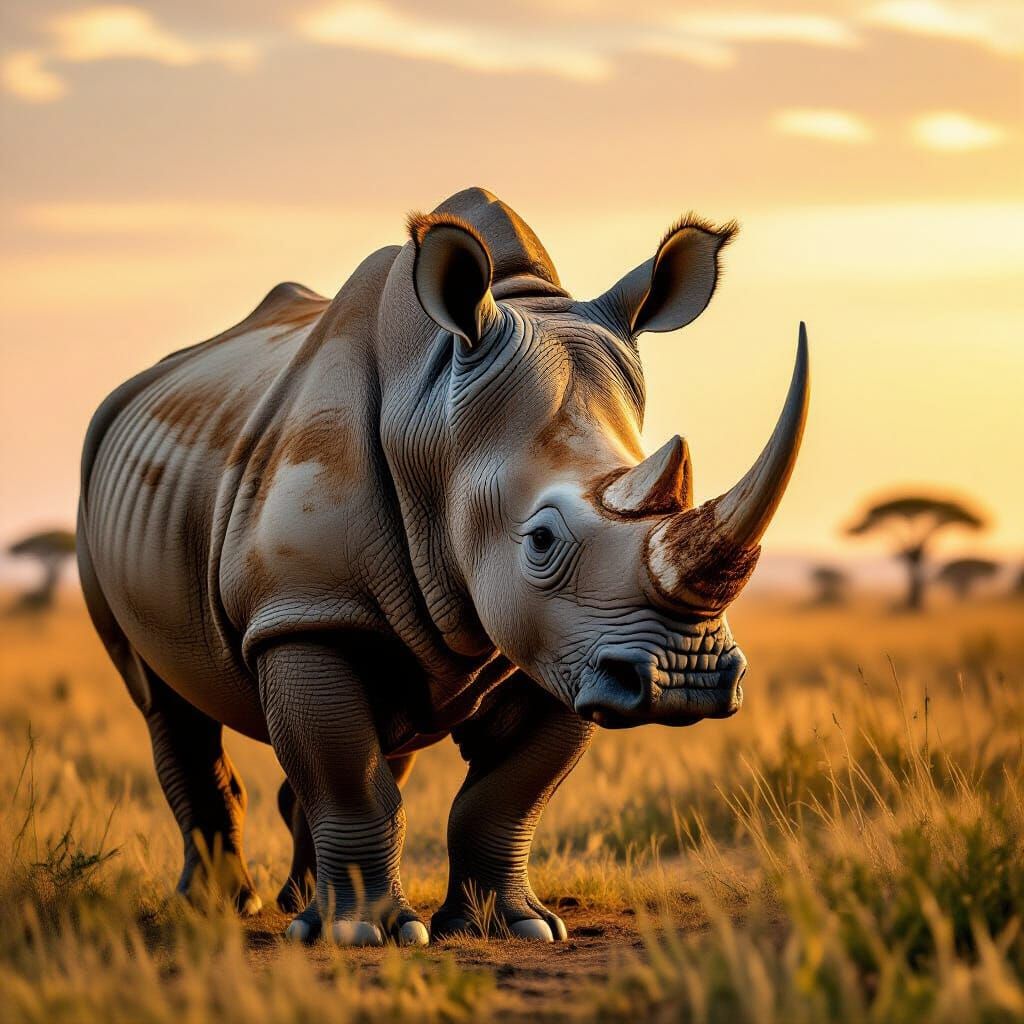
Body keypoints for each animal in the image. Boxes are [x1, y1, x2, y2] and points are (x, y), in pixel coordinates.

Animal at [78, 187, 809, 946]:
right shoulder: (306, 610)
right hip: (101, 484)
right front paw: (362, 937)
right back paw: (223, 910)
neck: (436, 428)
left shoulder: (564, 639)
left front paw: (514, 927)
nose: (687, 680)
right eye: (540, 540)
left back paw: (295, 906)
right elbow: (349, 777)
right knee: (162, 698)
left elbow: (508, 792)